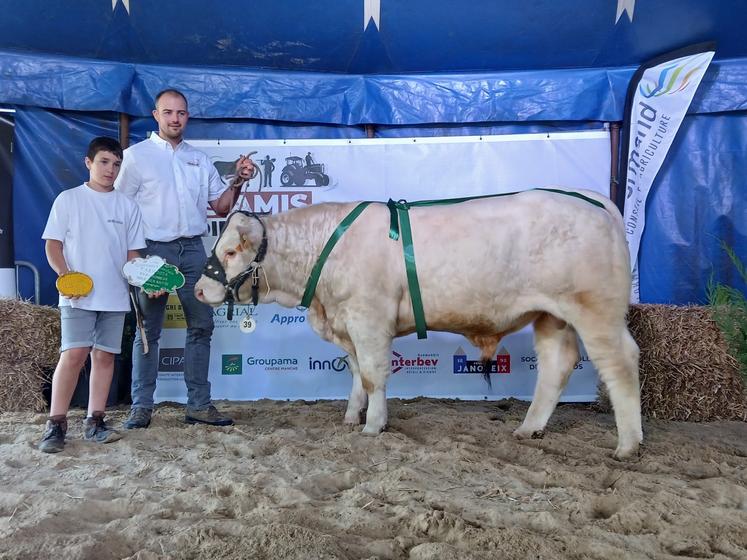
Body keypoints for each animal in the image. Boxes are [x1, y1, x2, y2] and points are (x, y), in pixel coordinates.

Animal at [194, 189, 644, 460]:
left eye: (231, 251)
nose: (198, 290)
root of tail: (595, 200)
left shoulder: (368, 317)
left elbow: (373, 374)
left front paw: (373, 425)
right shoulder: (349, 325)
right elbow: (356, 372)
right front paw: (352, 417)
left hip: (596, 310)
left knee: (621, 363)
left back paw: (628, 445)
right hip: (552, 315)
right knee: (557, 364)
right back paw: (529, 429)